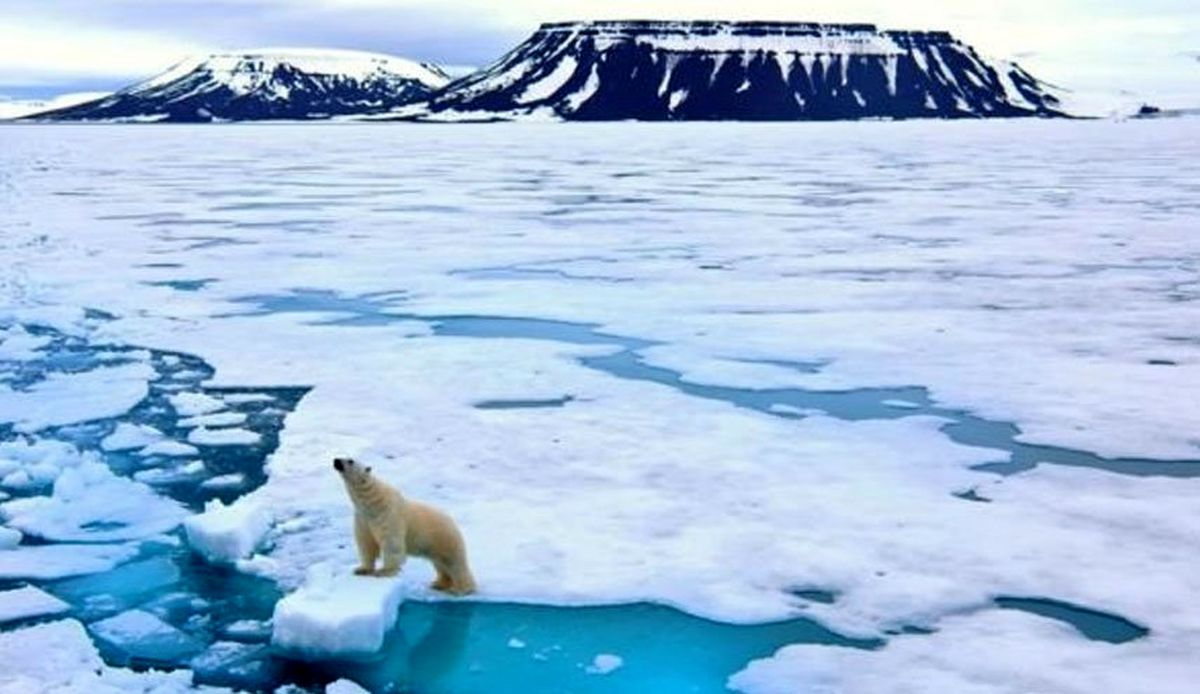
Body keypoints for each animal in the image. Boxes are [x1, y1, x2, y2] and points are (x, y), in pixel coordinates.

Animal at [333, 453, 477, 595]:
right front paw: (361, 569)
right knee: (440, 564)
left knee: (454, 563)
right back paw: (439, 584)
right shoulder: (363, 518)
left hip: (444, 539)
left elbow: (391, 543)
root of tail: (453, 522)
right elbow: (366, 543)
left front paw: (384, 571)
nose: (336, 460)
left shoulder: (388, 514)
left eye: (350, 460)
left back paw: (461, 589)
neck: (372, 503)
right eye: (343, 456)